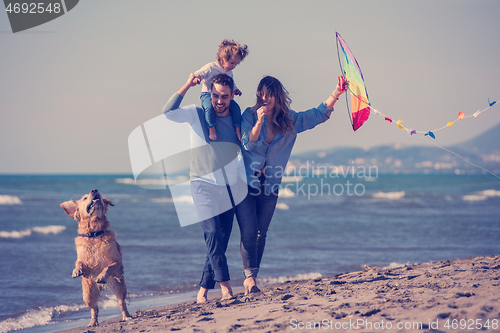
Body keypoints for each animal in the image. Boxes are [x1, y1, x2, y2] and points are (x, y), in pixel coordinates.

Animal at [60, 188, 132, 326]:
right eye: (84, 198)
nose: (94, 190)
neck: (94, 234)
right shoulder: (82, 260)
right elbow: (79, 263)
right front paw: (76, 271)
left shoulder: (117, 264)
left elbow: (108, 267)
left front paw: (101, 276)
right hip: (88, 295)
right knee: (95, 309)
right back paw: (93, 323)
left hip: (120, 288)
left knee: (122, 304)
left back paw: (127, 316)